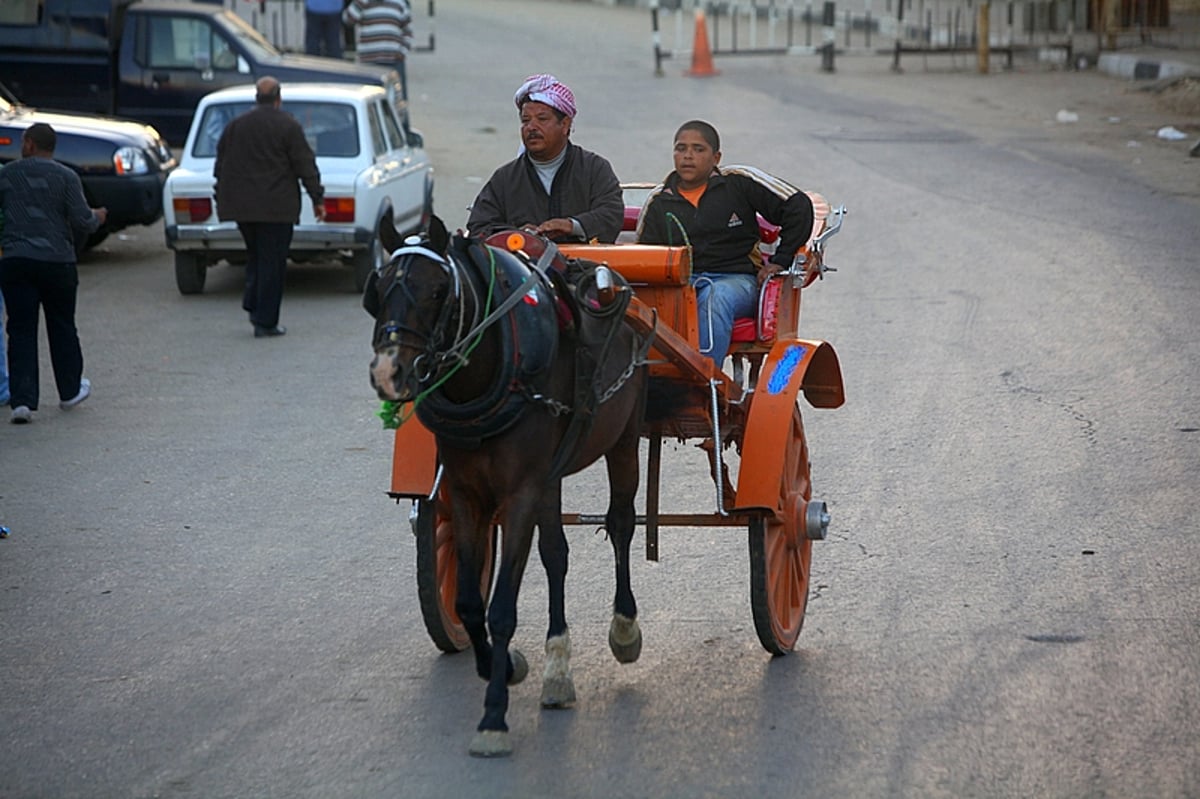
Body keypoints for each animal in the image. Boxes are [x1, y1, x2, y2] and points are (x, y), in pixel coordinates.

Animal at [364, 215, 652, 753]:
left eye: (438, 290)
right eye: (379, 288)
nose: (389, 372)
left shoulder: (520, 493)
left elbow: (500, 610)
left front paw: (493, 716)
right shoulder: (465, 492)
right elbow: (468, 602)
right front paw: (505, 666)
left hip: (623, 438)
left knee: (622, 523)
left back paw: (624, 628)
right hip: (551, 475)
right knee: (556, 554)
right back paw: (557, 669)